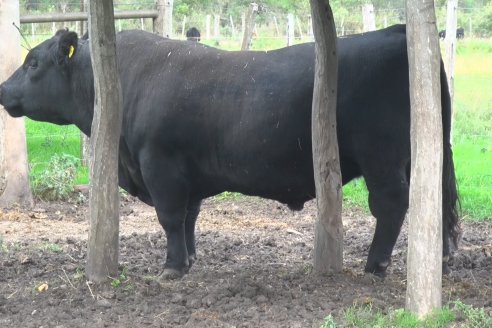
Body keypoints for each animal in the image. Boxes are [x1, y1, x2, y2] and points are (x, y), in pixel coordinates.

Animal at [0, 24, 460, 278]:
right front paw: (188, 259)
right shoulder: (187, 172)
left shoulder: (160, 164)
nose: (3, 89)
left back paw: (375, 264)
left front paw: (172, 267)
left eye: (33, 63)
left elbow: (169, 217)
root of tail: (396, 31)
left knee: (392, 204)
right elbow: (188, 218)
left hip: (382, 157)